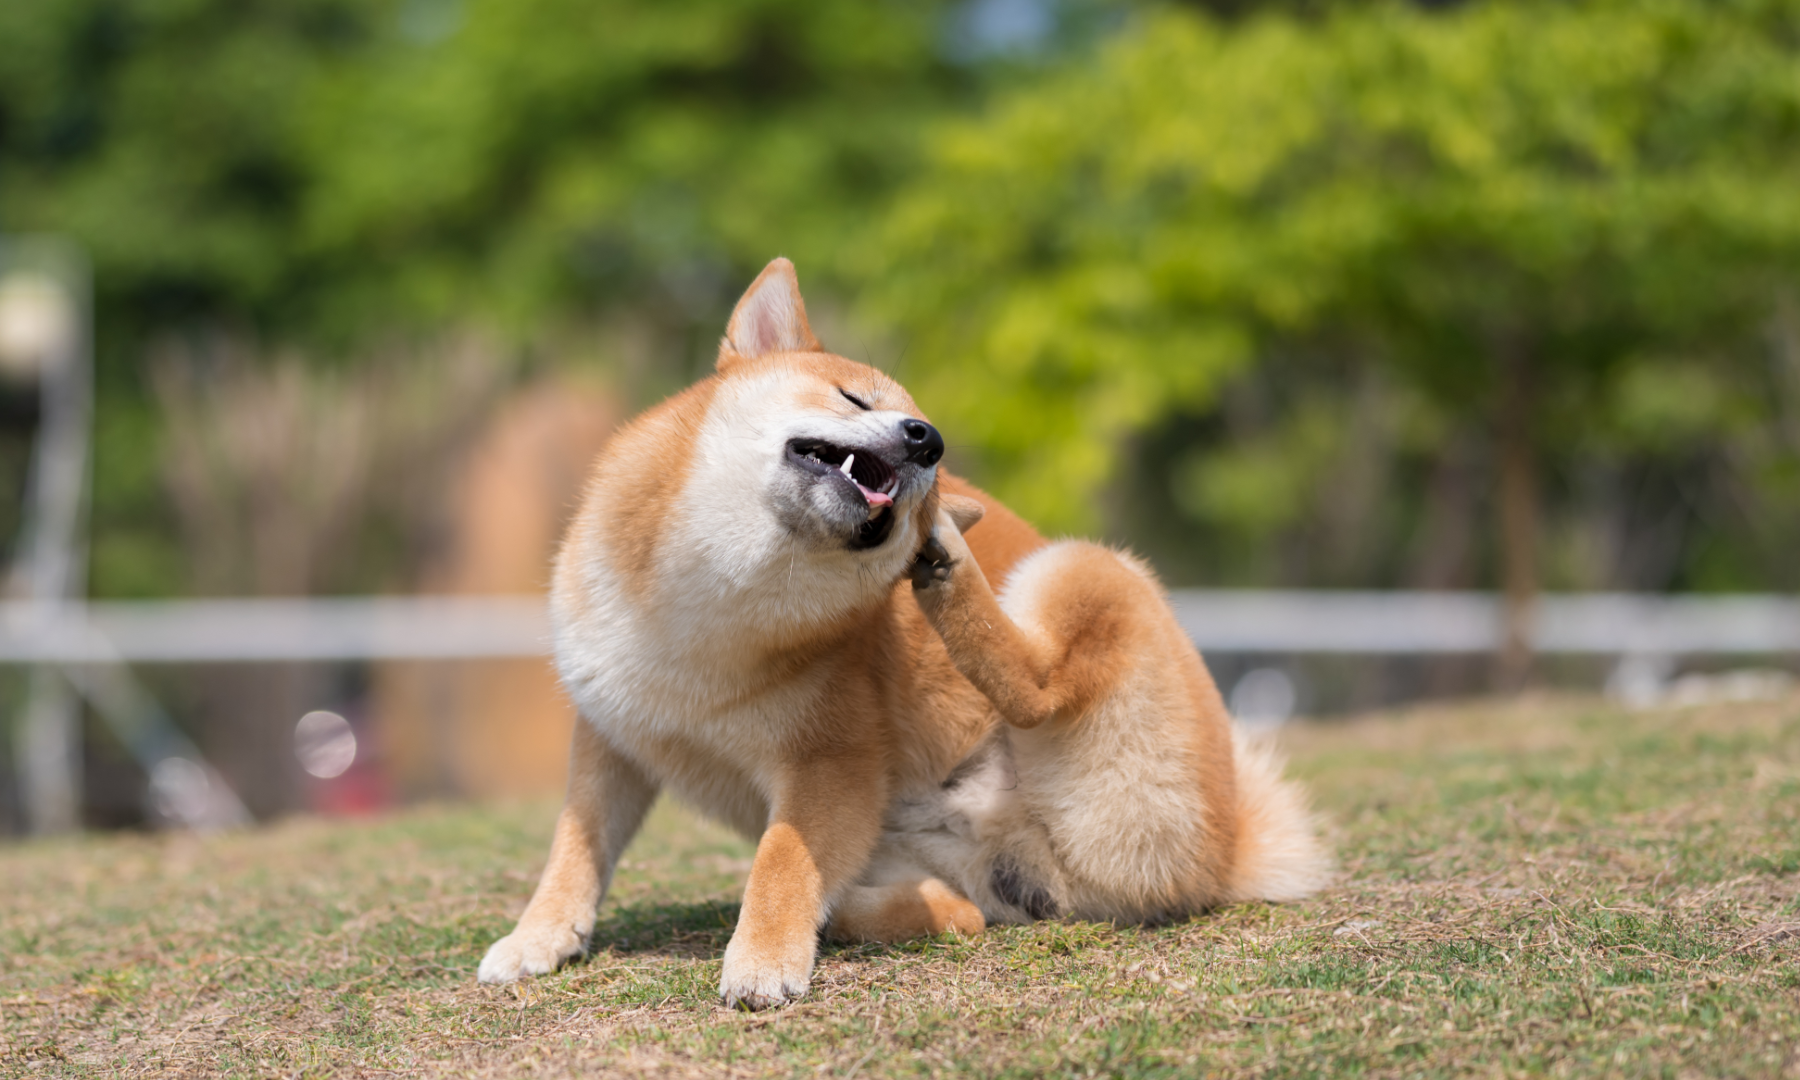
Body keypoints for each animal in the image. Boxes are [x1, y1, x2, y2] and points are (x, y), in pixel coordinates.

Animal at [478, 257, 1324, 1008]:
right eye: (854, 397)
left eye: (929, 451)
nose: (929, 439)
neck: (707, 604)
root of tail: (1230, 849)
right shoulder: (613, 737)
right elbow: (576, 852)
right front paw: (538, 938)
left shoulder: (830, 761)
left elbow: (781, 861)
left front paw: (763, 959)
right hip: (926, 851)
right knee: (957, 912)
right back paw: (894, 912)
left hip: (1082, 571)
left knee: (1038, 689)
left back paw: (949, 566)